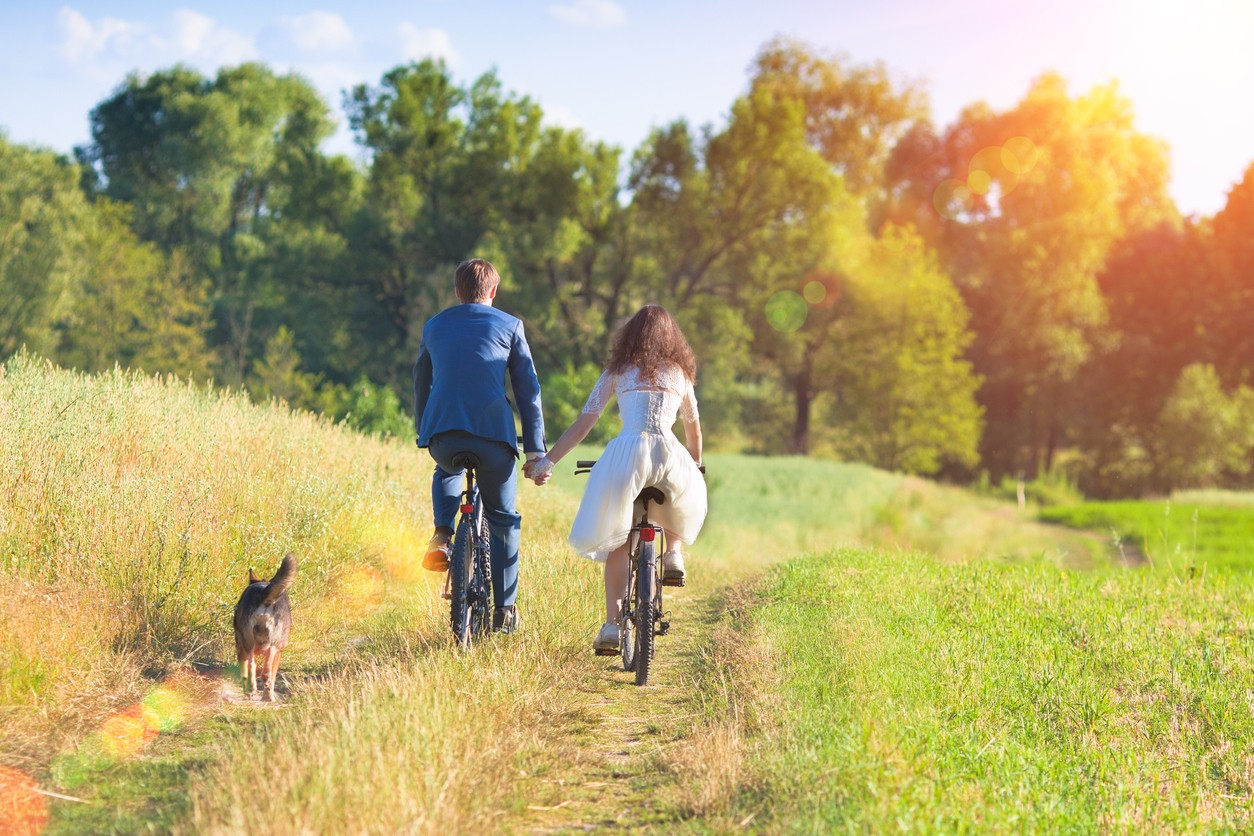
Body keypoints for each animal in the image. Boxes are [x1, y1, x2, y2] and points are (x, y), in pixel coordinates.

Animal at [234, 556, 297, 701]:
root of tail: (264, 592)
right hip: (271, 644)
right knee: (262, 669)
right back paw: (262, 694)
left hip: (252, 644)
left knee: (255, 667)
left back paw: (254, 691)